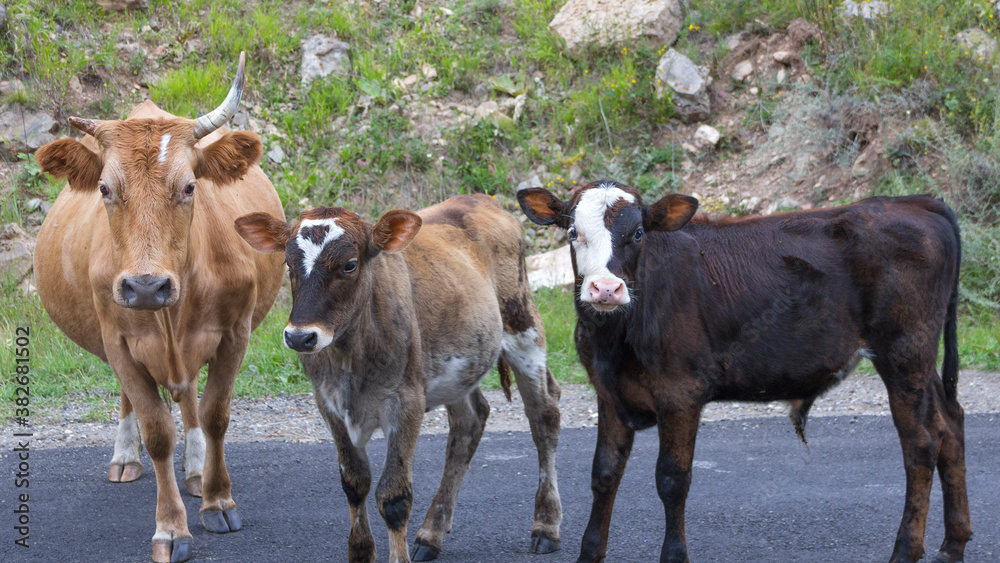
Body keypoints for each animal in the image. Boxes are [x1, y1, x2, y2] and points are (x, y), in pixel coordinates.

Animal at [33, 54, 284, 563]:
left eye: (189, 187)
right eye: (105, 189)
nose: (147, 287)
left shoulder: (236, 333)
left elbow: (215, 415)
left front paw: (217, 500)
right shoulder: (119, 342)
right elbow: (157, 432)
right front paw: (171, 528)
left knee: (189, 398)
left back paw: (196, 471)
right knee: (138, 402)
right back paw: (126, 458)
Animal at [235, 195, 564, 563]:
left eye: (350, 265)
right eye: (289, 264)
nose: (300, 337)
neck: (352, 358)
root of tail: (480, 199)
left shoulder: (407, 403)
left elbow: (393, 497)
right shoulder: (328, 403)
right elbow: (355, 482)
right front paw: (361, 552)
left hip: (523, 329)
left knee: (544, 416)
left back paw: (546, 525)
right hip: (460, 363)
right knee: (469, 423)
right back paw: (432, 533)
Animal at [520, 182, 964, 563]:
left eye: (639, 233)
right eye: (573, 232)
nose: (606, 289)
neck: (614, 338)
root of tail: (916, 202)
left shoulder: (681, 392)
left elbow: (672, 479)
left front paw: (674, 555)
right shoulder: (610, 392)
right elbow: (604, 473)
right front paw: (589, 552)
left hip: (903, 351)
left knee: (921, 446)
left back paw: (906, 550)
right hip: (921, 359)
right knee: (950, 427)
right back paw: (953, 544)